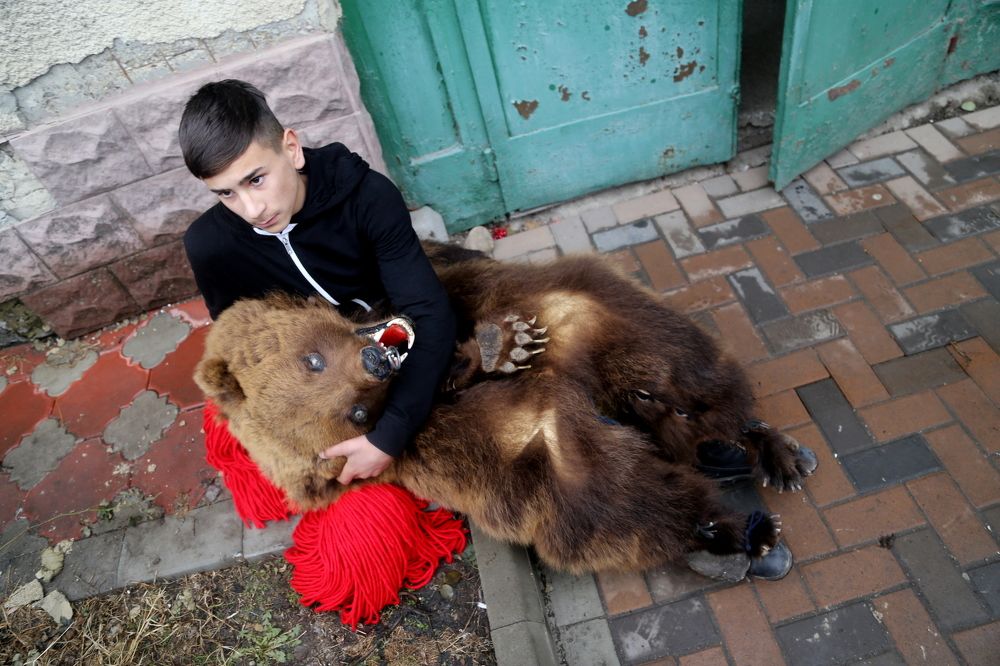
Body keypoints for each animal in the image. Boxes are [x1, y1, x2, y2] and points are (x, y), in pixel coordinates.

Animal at [195, 247, 816, 575]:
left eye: (313, 359)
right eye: (355, 414)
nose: (377, 363)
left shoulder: (448, 279)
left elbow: (456, 296)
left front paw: (501, 343)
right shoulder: (433, 438)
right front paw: (494, 351)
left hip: (602, 314)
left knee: (692, 375)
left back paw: (770, 451)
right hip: (553, 465)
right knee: (628, 504)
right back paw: (739, 528)